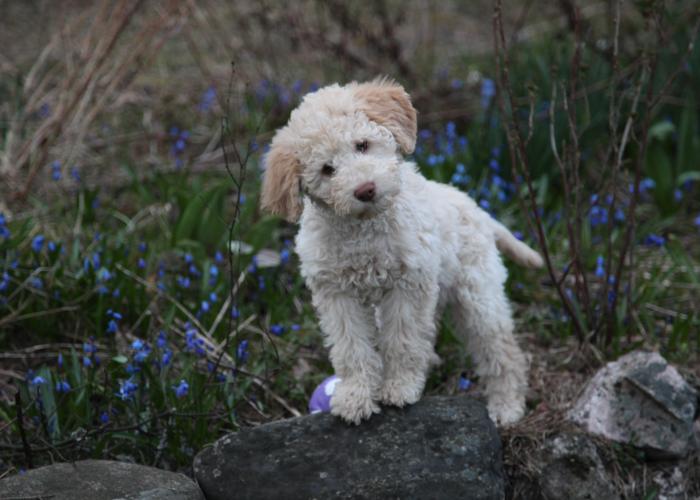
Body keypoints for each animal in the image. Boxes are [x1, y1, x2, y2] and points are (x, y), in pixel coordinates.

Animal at [262, 77, 540, 426]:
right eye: (327, 169)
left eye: (362, 145)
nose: (365, 190)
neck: (364, 229)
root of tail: (477, 209)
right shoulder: (337, 295)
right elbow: (351, 347)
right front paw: (356, 396)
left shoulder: (408, 285)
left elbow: (402, 339)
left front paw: (399, 387)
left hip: (478, 295)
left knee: (502, 350)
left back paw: (507, 406)